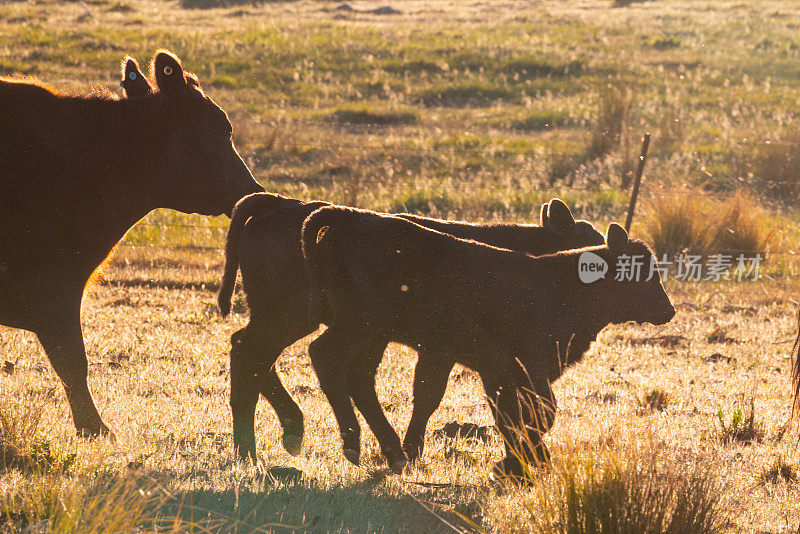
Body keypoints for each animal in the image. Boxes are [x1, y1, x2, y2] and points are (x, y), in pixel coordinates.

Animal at [216, 194, 604, 464]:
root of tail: (279, 204)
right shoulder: (453, 351)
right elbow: (434, 394)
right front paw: (414, 448)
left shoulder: (439, 350)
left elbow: (429, 393)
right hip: (306, 319)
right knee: (264, 355)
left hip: (302, 321)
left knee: (253, 353)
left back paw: (283, 435)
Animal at [300, 207, 676, 480]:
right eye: (641, 272)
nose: (668, 310)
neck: (559, 284)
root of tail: (348, 219)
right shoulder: (514, 369)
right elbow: (532, 415)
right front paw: (518, 466)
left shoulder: (499, 372)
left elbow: (517, 414)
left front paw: (522, 464)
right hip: (361, 329)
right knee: (326, 358)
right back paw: (360, 446)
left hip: (369, 336)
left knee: (355, 376)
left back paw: (391, 454)